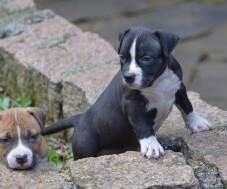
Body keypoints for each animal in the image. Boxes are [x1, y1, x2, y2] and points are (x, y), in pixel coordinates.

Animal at [42, 26, 213, 159]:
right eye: (122, 57)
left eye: (146, 58)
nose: (128, 77)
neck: (157, 81)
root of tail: (80, 118)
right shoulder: (133, 104)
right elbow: (143, 125)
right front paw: (152, 146)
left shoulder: (178, 86)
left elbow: (187, 105)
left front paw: (197, 123)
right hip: (85, 148)